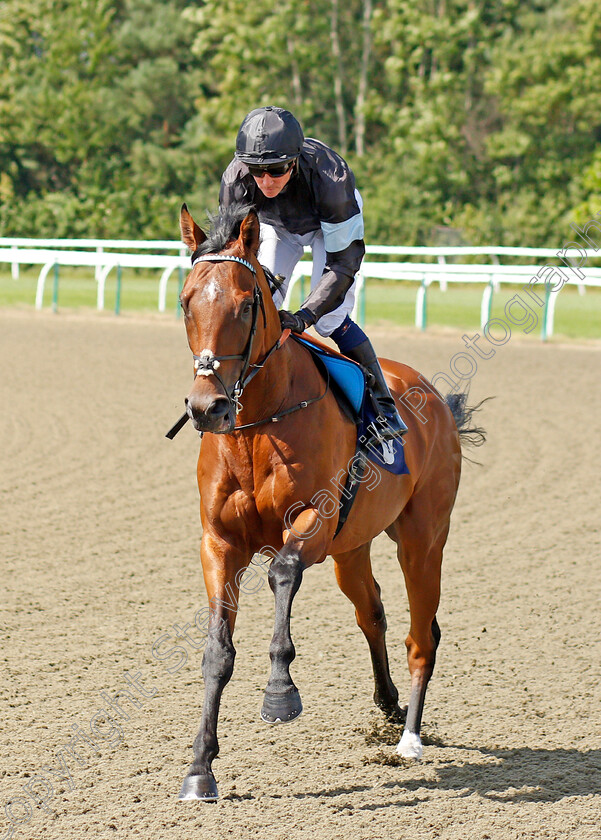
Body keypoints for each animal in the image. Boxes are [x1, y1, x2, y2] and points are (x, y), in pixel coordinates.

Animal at [172, 202, 482, 800]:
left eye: (247, 304)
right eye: (185, 300)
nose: (207, 407)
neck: (258, 427)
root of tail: (434, 398)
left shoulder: (313, 522)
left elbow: (283, 573)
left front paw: (279, 691)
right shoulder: (218, 542)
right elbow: (217, 651)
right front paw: (200, 768)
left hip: (423, 539)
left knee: (421, 633)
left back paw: (410, 737)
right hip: (351, 548)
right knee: (373, 612)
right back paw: (388, 705)